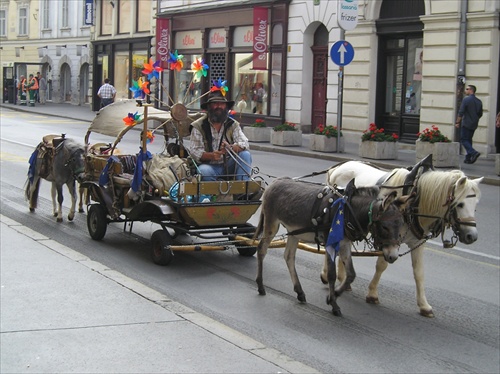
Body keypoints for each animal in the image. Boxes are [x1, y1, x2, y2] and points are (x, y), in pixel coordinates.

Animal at [322, 159, 482, 318]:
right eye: (460, 204)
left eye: (475, 206)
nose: (471, 236)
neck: (415, 201)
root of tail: (338, 167)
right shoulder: (389, 240)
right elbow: (382, 265)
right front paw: (372, 293)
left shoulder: (416, 242)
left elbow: (419, 272)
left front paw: (424, 305)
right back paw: (326, 275)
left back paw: (343, 279)